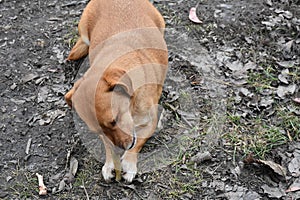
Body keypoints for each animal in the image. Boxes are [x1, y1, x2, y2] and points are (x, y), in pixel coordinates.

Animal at [64, 0, 168, 183]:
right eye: (98, 131)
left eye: (114, 120)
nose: (121, 148)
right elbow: (107, 144)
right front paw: (110, 162)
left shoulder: (150, 121)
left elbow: (139, 140)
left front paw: (129, 163)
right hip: (84, 29)